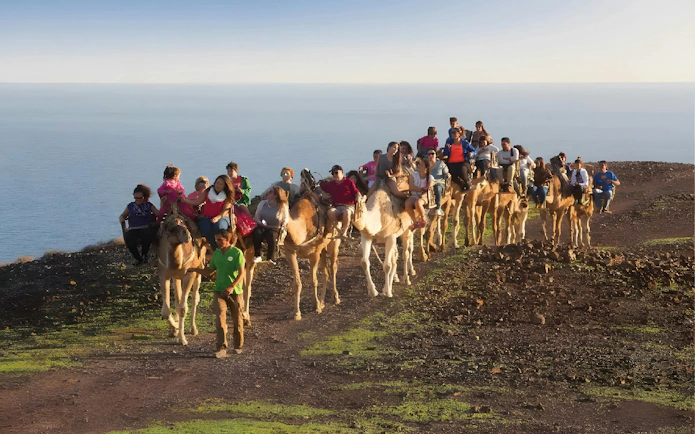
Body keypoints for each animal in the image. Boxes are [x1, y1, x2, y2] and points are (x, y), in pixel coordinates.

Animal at [157, 206, 207, 346]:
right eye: (170, 228)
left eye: (183, 224)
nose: (188, 236)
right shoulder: (164, 274)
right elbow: (166, 311)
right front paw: (175, 329)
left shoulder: (189, 274)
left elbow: (183, 308)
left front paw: (182, 338)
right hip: (176, 277)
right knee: (178, 299)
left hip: (199, 269)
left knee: (195, 297)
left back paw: (193, 329)